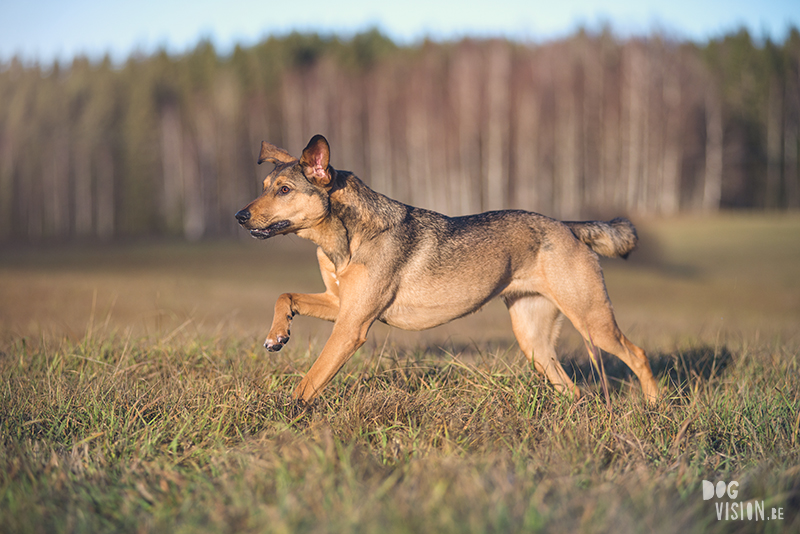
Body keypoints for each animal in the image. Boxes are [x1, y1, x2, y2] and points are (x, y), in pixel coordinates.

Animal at [234, 136, 660, 404]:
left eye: (285, 190)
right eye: (264, 185)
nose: (239, 216)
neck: (344, 239)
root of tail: (569, 227)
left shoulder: (351, 325)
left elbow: (311, 379)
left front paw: (284, 414)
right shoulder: (340, 304)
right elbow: (285, 295)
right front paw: (277, 335)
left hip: (591, 319)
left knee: (638, 354)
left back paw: (654, 407)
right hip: (534, 339)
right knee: (571, 388)